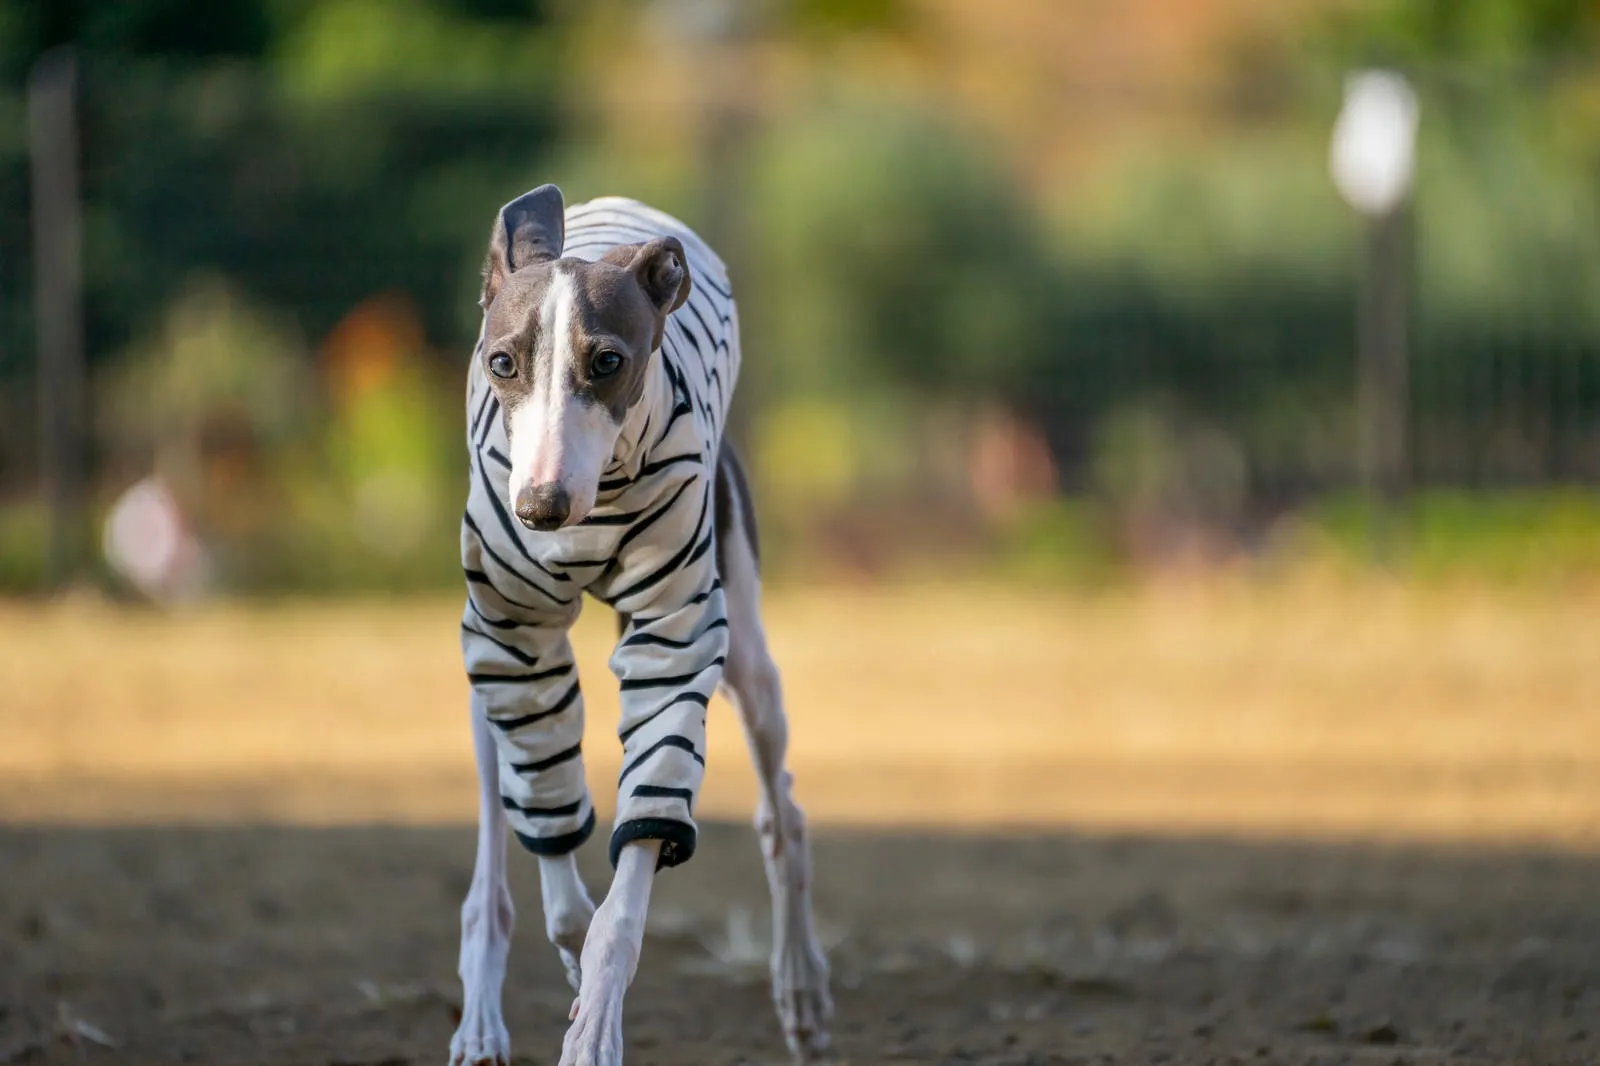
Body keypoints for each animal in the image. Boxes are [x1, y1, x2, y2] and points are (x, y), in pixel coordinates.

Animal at [448, 182, 832, 1062]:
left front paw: (595, 1020)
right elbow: (554, 856)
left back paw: (799, 983)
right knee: (490, 868)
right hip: (481, 674)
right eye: (501, 362)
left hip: (744, 649)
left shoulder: (676, 639)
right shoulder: (514, 647)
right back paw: (480, 1016)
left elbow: (626, 892)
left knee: (782, 814)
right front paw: (570, 967)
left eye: (608, 362)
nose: (540, 508)